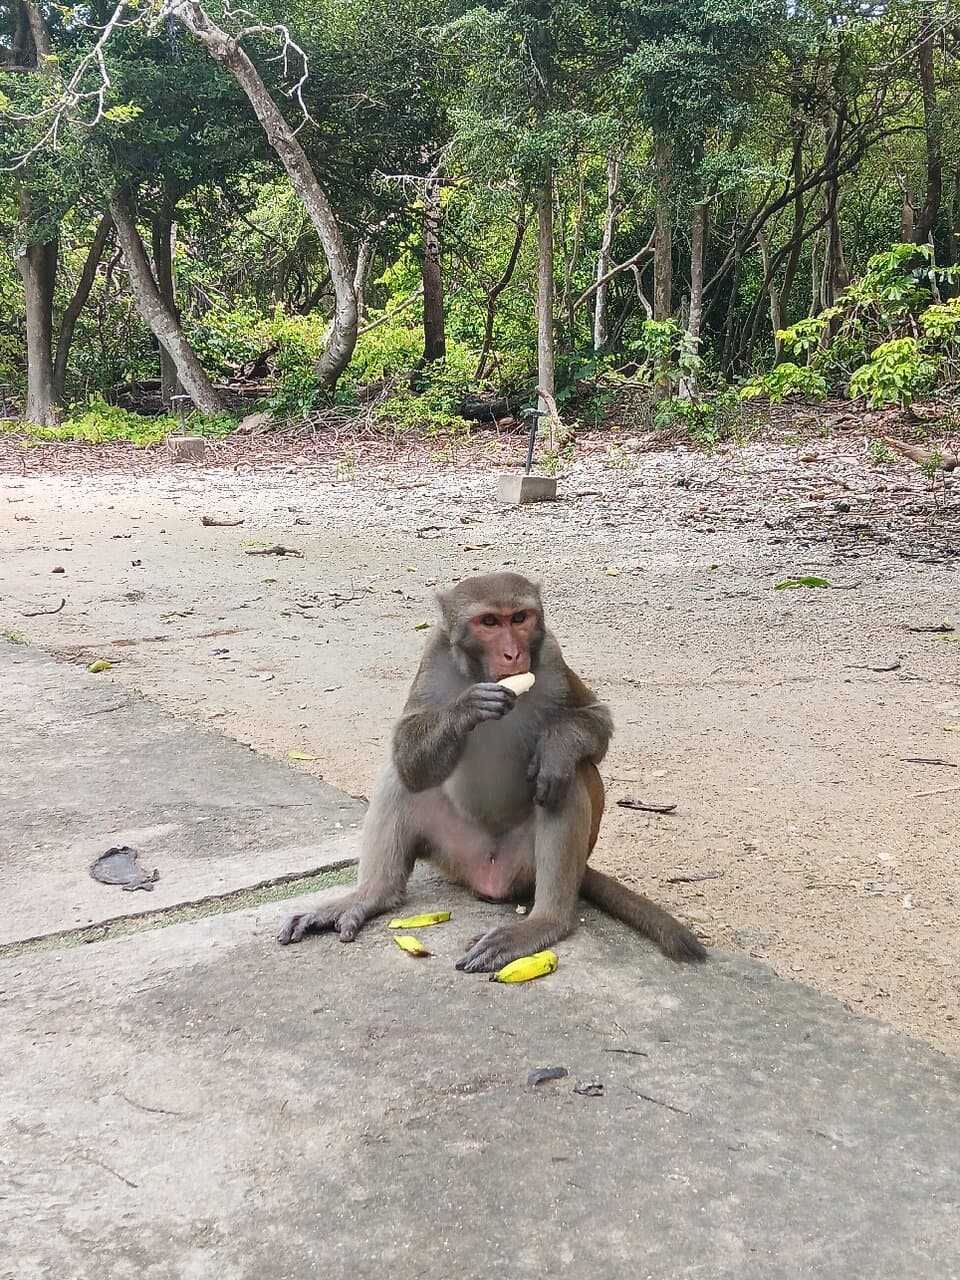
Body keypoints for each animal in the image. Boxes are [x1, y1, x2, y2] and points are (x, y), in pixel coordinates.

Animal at [278, 572, 706, 971]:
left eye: (519, 618)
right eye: (489, 622)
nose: (513, 654)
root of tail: (489, 876)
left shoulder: (552, 656)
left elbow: (595, 722)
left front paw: (555, 745)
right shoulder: (434, 655)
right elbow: (404, 751)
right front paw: (465, 708)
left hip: (524, 865)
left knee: (569, 777)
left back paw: (544, 921)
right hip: (453, 854)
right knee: (401, 777)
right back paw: (372, 894)